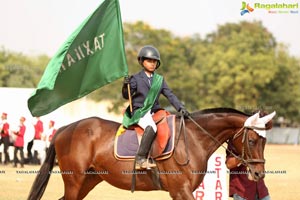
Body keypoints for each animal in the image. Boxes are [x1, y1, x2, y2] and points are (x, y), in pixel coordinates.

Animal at [27, 108, 274, 200]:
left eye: (265, 141)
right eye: (252, 140)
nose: (259, 174)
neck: (192, 139)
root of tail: (64, 129)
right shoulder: (181, 191)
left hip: (89, 180)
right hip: (75, 180)